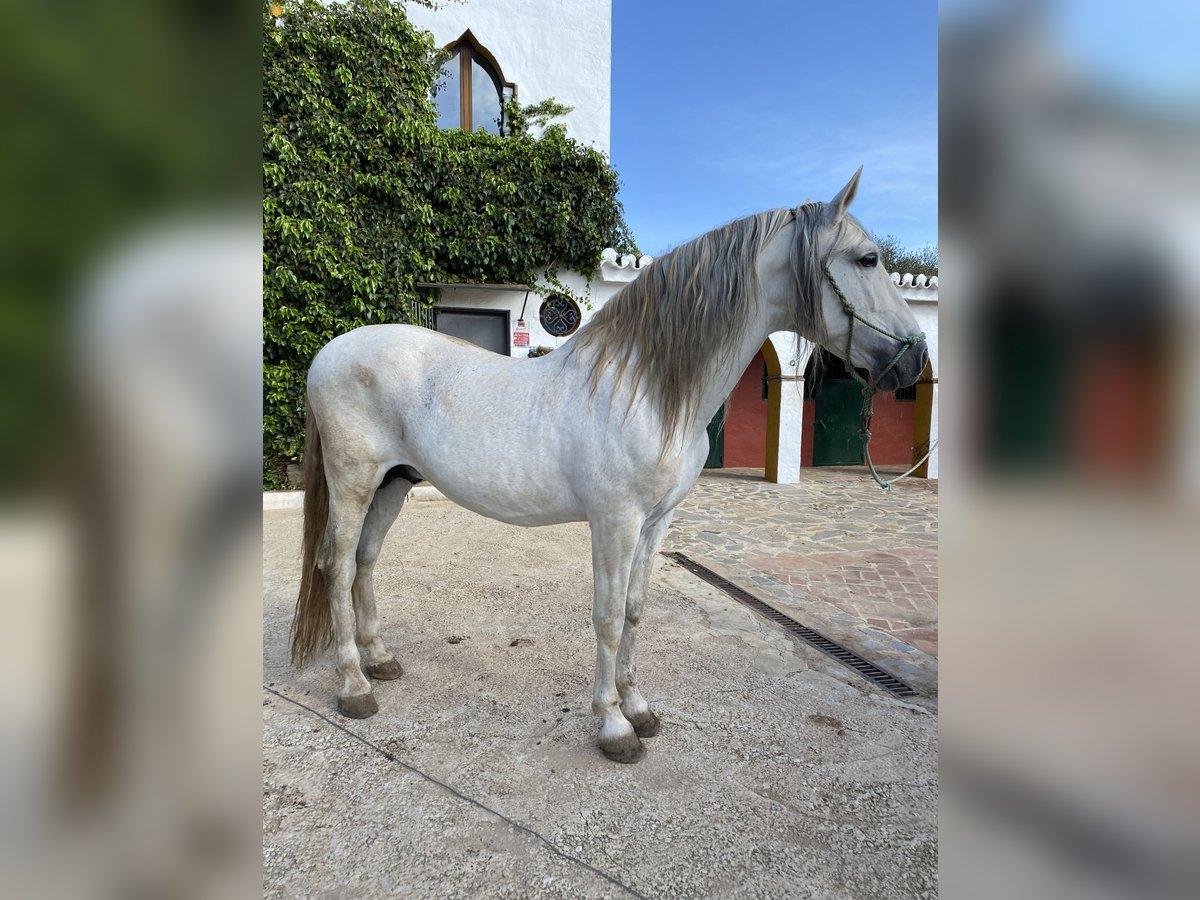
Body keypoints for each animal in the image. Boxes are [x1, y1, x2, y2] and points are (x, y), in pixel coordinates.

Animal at [290, 168, 926, 763]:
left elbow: (637, 611)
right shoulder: (615, 522)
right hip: (353, 483)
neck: (647, 390)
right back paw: (355, 688)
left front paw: (639, 707)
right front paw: (614, 725)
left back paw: (380, 659)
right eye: (867, 258)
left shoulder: (656, 522)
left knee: (366, 561)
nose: (915, 359)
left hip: (393, 484)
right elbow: (609, 617)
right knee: (337, 567)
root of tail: (328, 354)